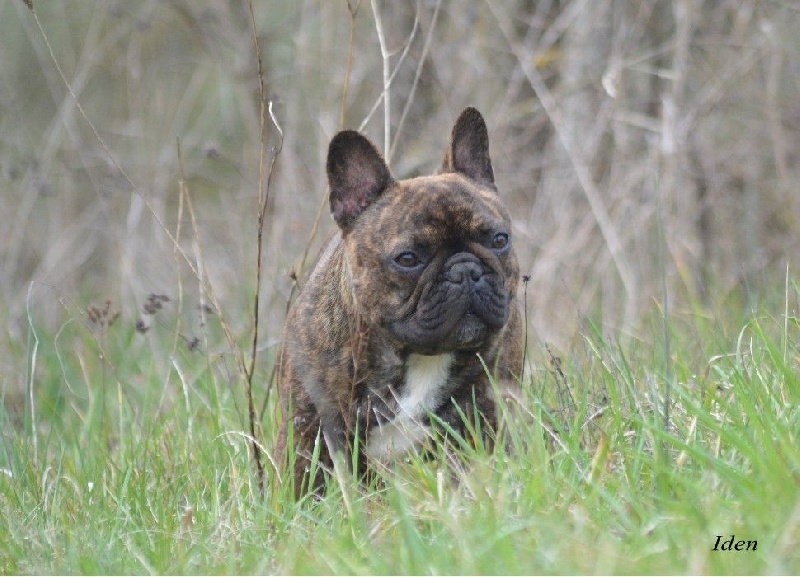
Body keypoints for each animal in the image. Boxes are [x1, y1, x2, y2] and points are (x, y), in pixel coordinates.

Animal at [276, 107, 524, 496]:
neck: (417, 356)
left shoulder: (484, 416)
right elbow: (306, 486)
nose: (466, 270)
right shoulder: (308, 430)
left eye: (500, 240)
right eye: (407, 259)